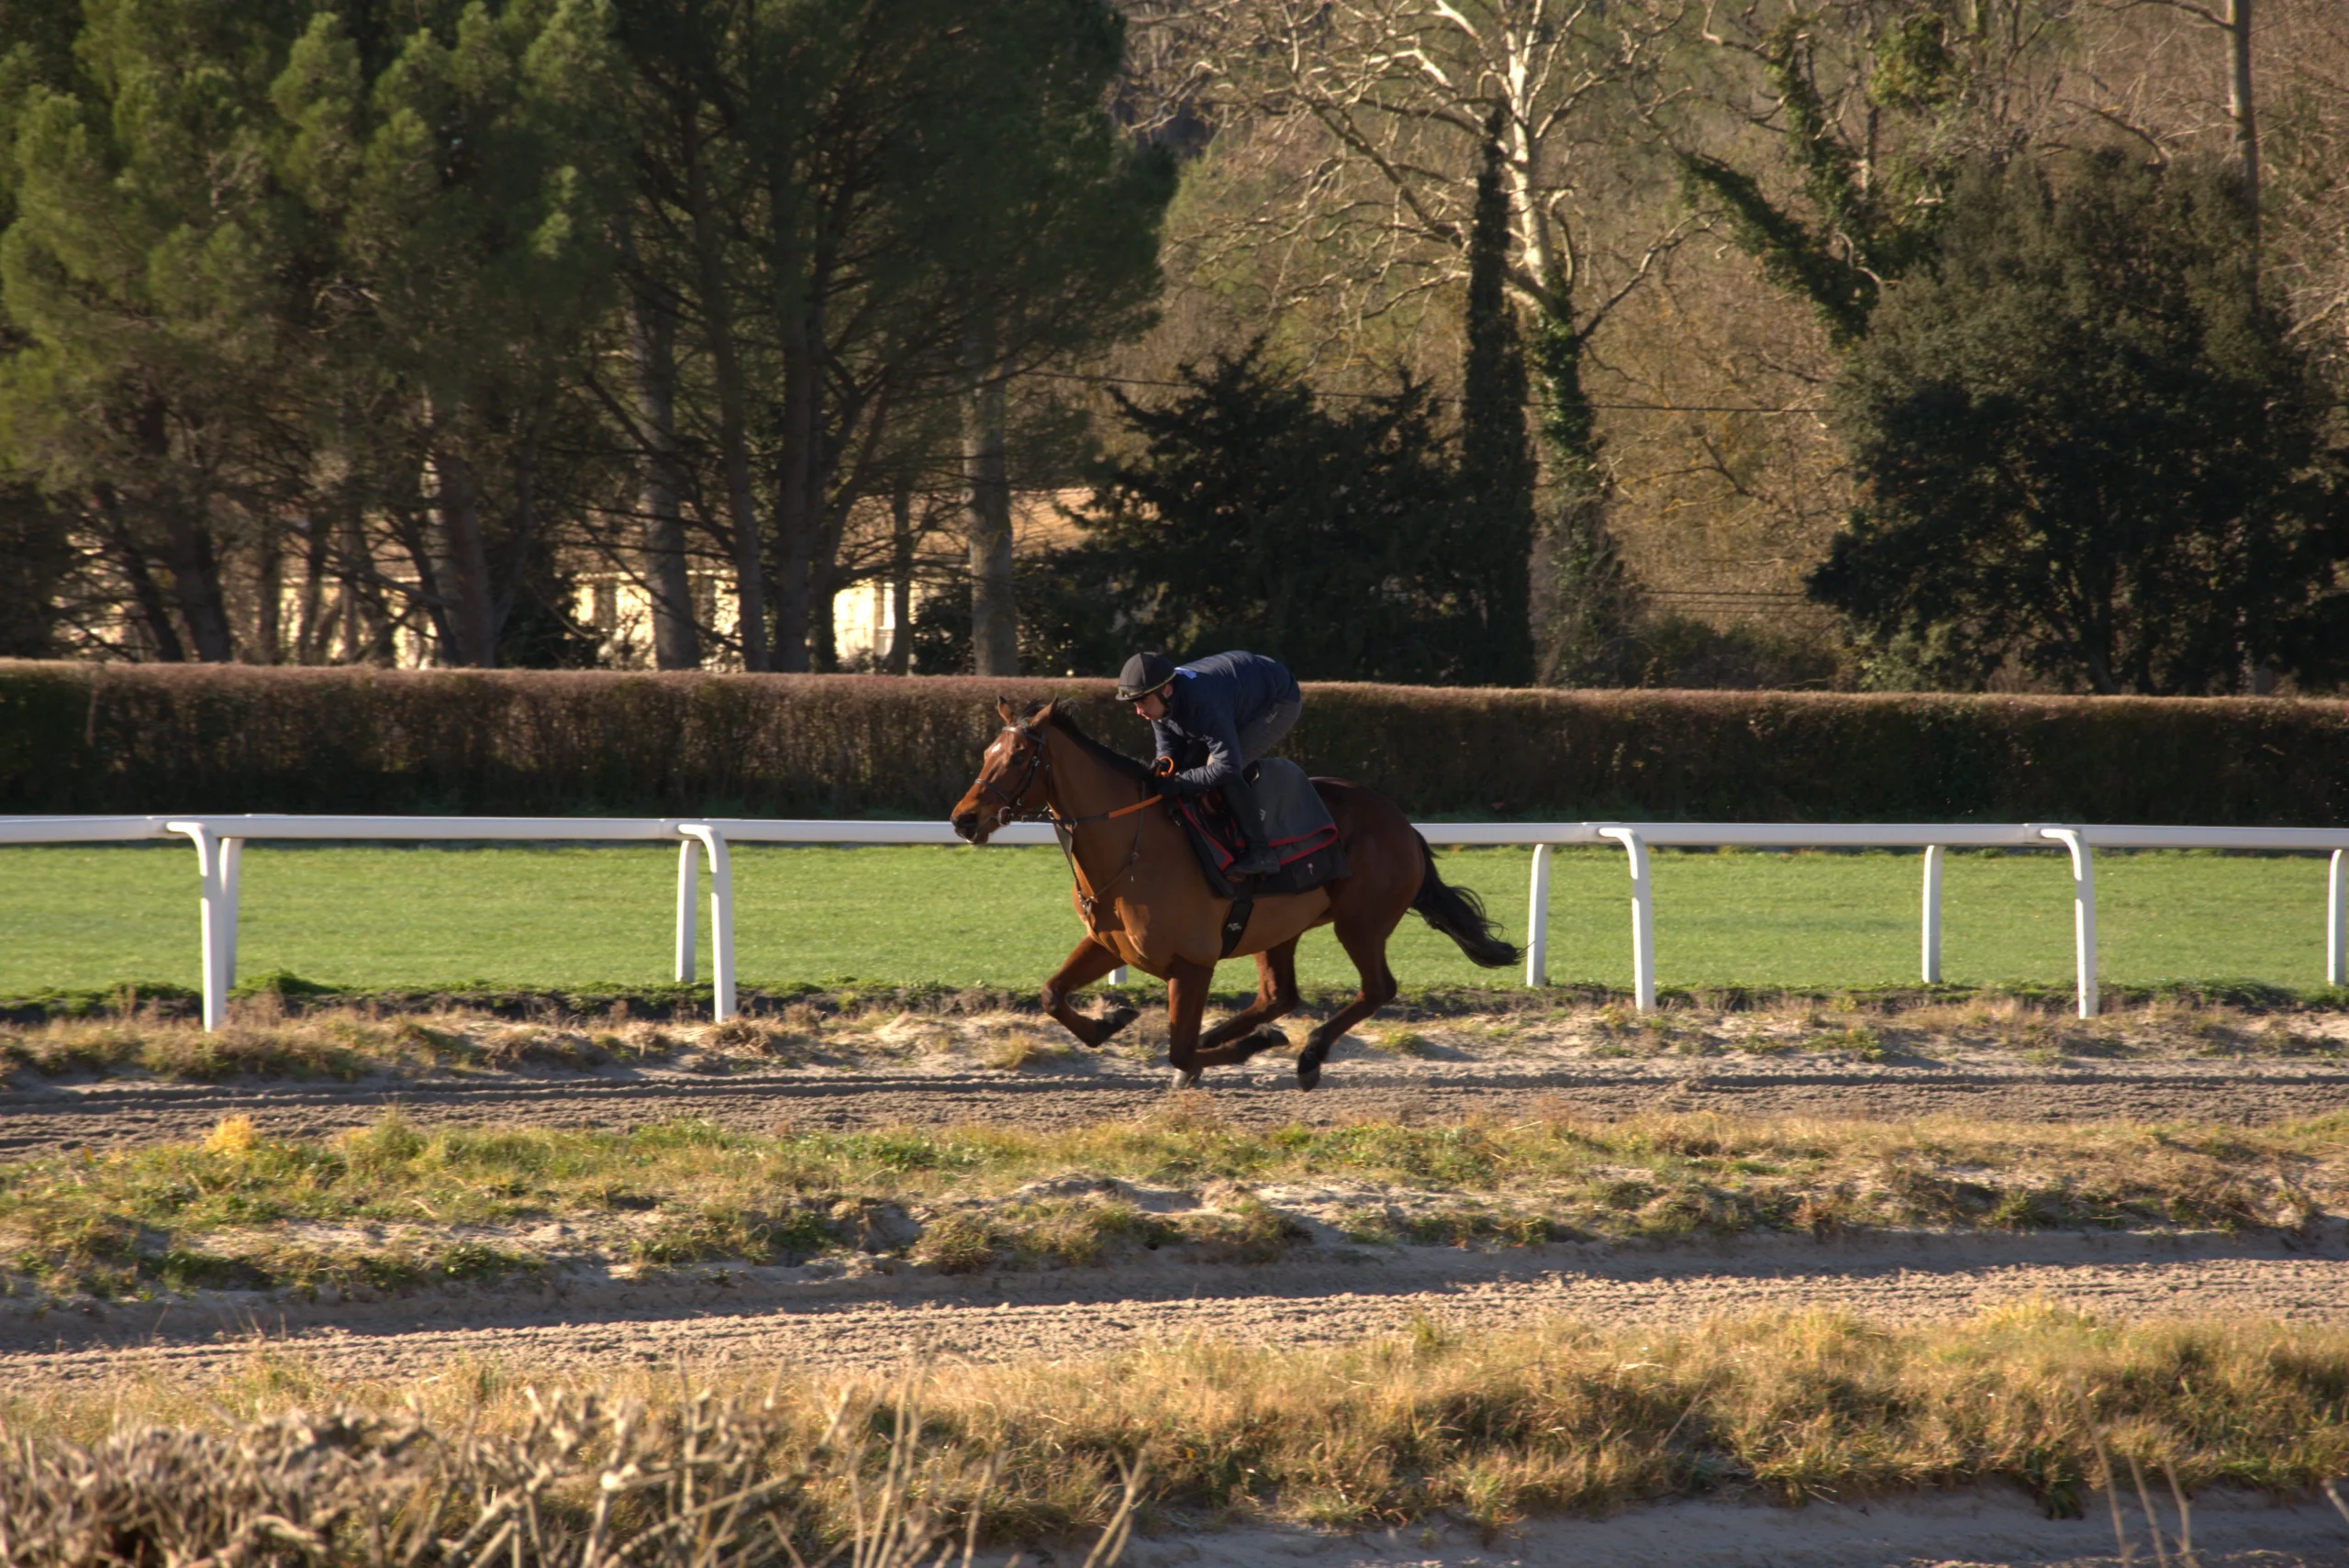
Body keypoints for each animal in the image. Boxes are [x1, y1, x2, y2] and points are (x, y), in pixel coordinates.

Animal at [944, 699, 1512, 1089]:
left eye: (1019, 756)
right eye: (988, 751)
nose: (963, 819)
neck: (1132, 847)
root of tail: (1403, 825)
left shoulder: (1193, 964)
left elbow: (1177, 1051)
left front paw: (1242, 1050)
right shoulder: (1109, 944)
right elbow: (1051, 994)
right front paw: (1113, 1019)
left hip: (1361, 922)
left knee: (1376, 990)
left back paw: (1305, 1056)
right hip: (1279, 928)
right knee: (1279, 995)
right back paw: (1231, 1036)